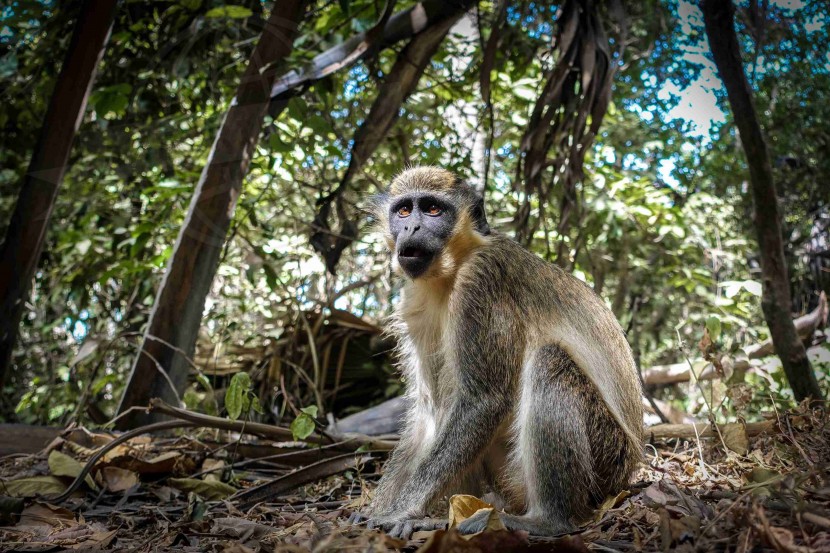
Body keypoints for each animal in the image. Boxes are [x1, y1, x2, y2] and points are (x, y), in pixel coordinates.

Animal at [348, 166, 648, 536]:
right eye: (403, 211)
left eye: (432, 209)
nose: (411, 228)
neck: (453, 269)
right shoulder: (414, 305)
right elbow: (427, 410)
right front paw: (379, 509)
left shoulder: (481, 280)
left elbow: (484, 400)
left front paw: (401, 512)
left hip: (608, 458)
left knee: (549, 361)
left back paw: (547, 520)